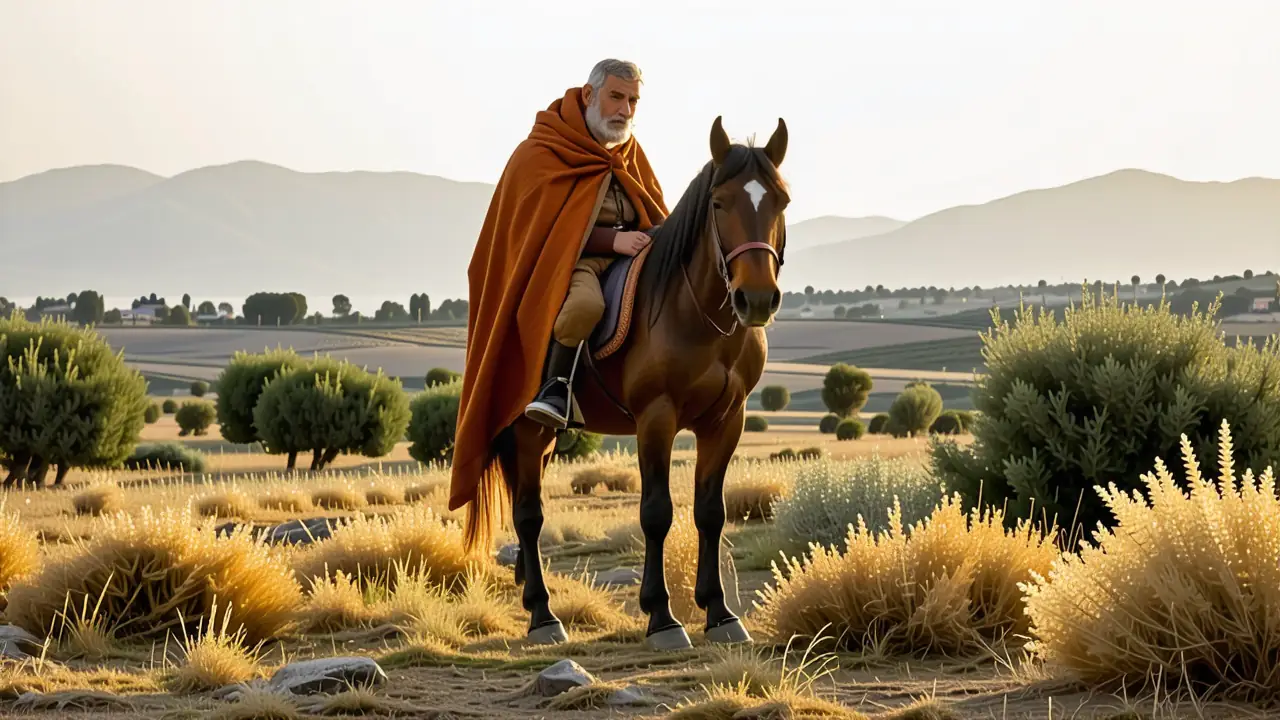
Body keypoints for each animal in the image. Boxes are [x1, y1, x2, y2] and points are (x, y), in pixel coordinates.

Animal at [469, 116, 789, 651]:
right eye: (719, 203)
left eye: (780, 201)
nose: (758, 299)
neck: (698, 317)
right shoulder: (656, 417)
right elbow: (656, 512)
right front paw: (662, 616)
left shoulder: (727, 420)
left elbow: (711, 512)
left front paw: (720, 612)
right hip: (527, 431)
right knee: (529, 516)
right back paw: (543, 615)